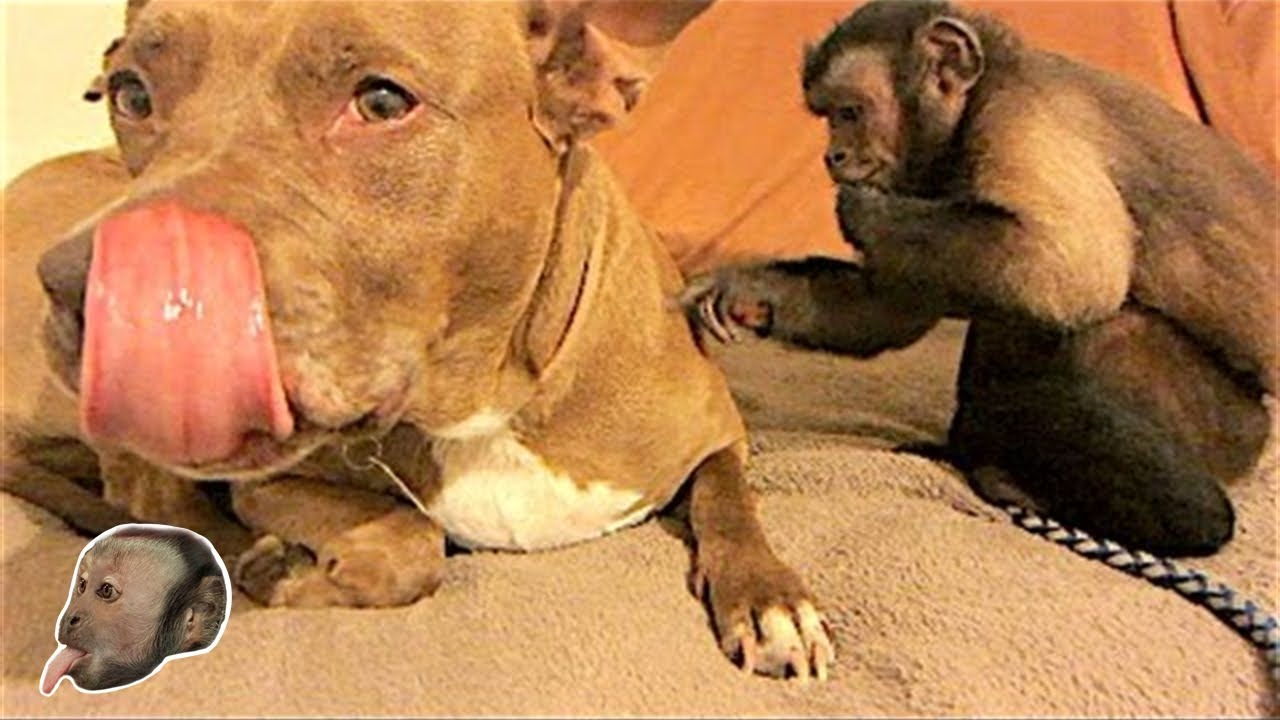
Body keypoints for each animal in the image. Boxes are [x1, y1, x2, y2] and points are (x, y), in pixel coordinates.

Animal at [684, 0, 1277, 557]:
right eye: (828, 115)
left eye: (849, 112)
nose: (834, 155)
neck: (974, 102)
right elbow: (889, 310)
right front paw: (745, 292)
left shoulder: (1017, 120)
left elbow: (1073, 269)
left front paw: (860, 211)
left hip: (1231, 433)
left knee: (1099, 326)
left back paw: (1182, 514)